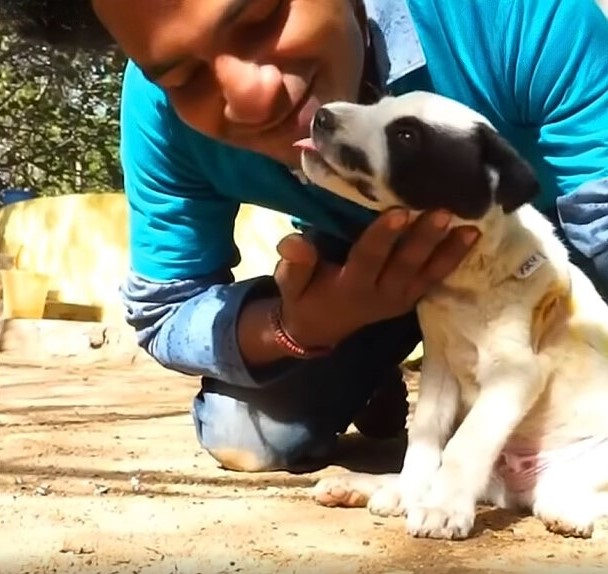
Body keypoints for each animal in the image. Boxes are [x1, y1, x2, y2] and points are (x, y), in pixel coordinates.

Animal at [296, 92, 608, 544]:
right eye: (380, 104)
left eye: (406, 136)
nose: (320, 115)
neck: (470, 273)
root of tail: (516, 486)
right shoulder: (440, 365)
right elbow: (425, 438)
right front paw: (410, 493)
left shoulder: (516, 373)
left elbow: (465, 443)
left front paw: (442, 509)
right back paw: (366, 486)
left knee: (570, 494)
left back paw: (567, 510)